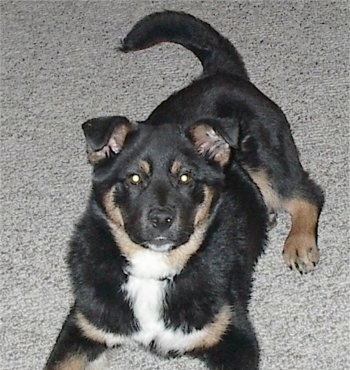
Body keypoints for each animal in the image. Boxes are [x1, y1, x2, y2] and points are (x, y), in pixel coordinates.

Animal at [45, 117, 266, 368]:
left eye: (185, 177)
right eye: (134, 178)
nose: (161, 219)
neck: (152, 269)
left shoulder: (234, 335)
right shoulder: (83, 326)